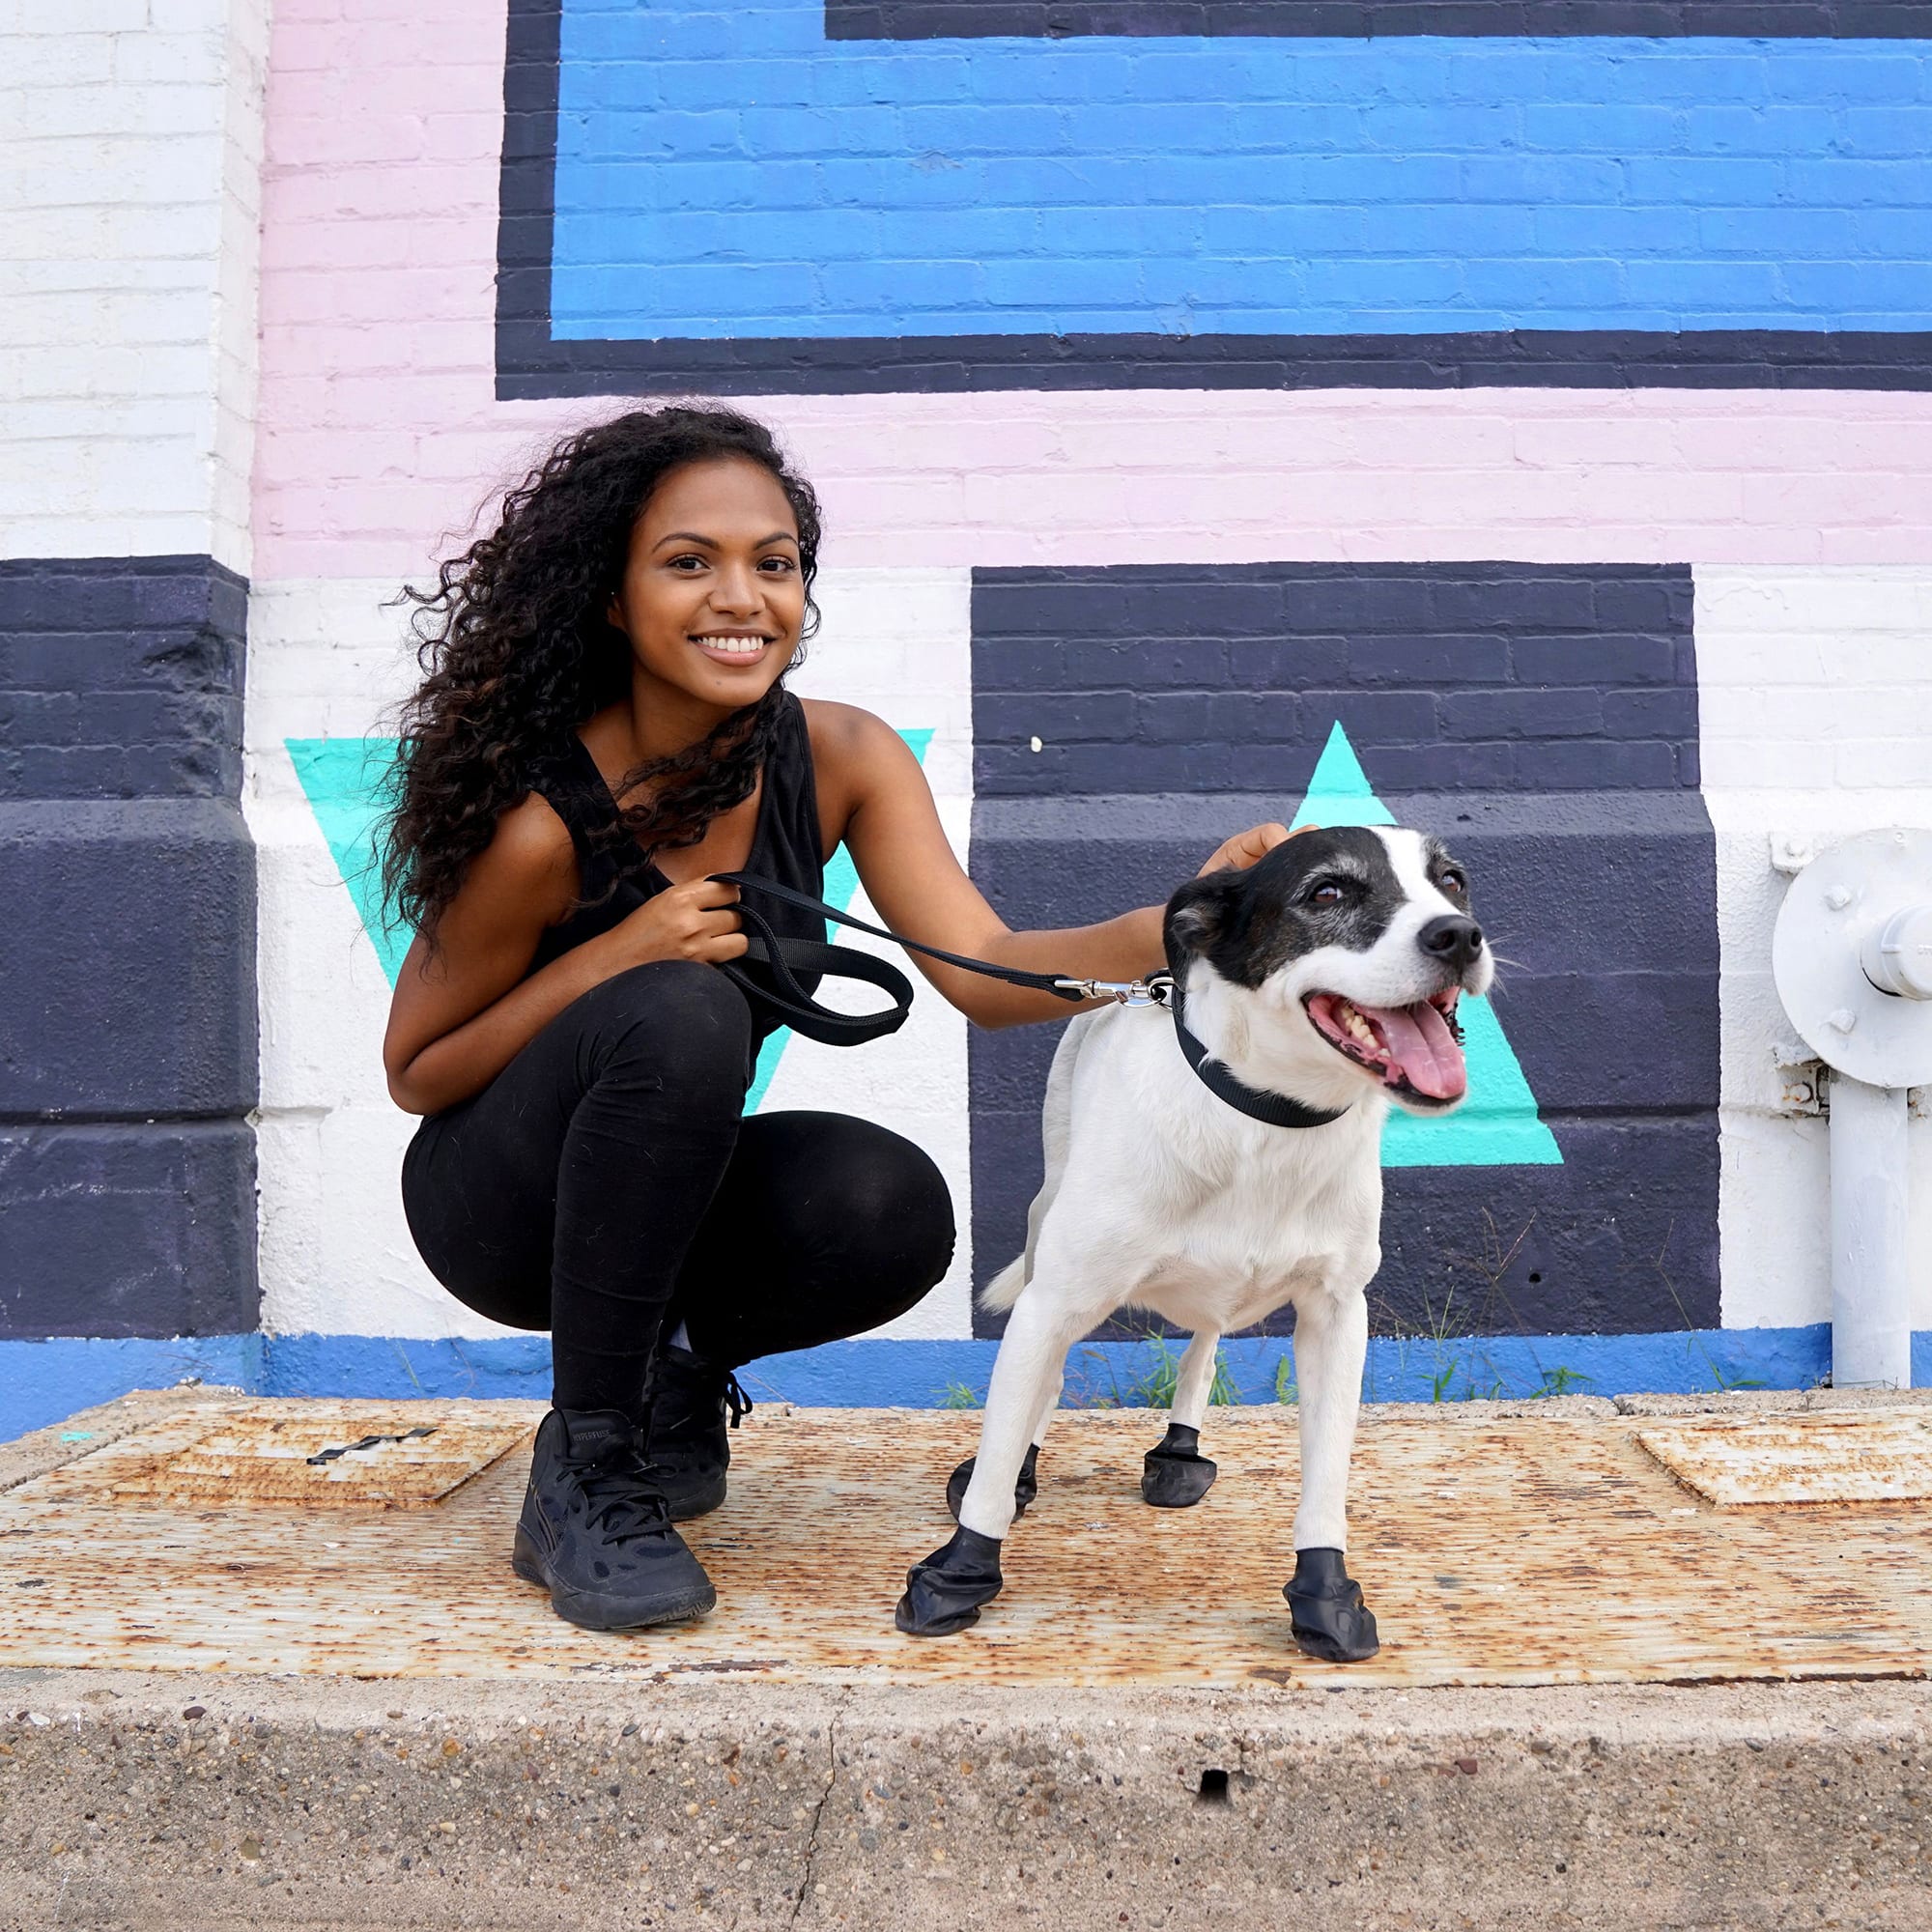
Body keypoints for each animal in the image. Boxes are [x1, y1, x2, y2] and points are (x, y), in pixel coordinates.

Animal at [889, 823, 1492, 1654]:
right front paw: (959, 1572)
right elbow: (1003, 1444)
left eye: (1453, 882)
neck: (1267, 1120)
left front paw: (1325, 1596)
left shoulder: (1337, 1317)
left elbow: (1325, 1478)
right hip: (1048, 1236)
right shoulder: (1055, 1301)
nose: (1459, 936)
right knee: (1044, 1380)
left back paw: (1179, 1446)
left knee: (1203, 1346)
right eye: (1327, 892)